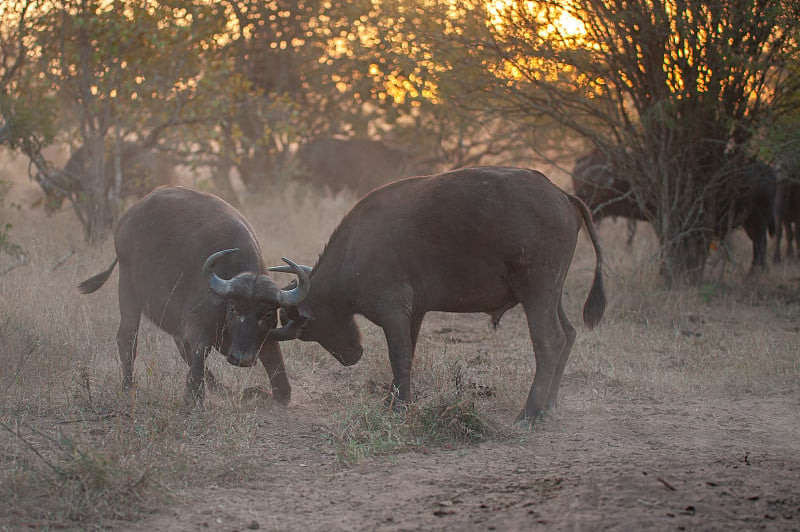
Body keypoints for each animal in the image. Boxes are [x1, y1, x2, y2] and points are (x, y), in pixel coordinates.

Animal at [77, 186, 310, 404]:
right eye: (234, 309)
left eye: (268, 314)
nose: (242, 359)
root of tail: (128, 218)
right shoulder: (195, 322)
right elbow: (199, 351)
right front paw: (194, 397)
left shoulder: (264, 338)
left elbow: (281, 381)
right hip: (127, 289)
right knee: (127, 338)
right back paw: (127, 386)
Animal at [268, 166, 608, 424]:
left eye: (307, 329)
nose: (351, 357)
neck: (357, 247)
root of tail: (561, 194)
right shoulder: (413, 315)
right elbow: (407, 356)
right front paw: (393, 401)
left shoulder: (392, 311)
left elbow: (399, 356)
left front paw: (400, 408)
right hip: (552, 295)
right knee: (569, 334)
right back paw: (549, 406)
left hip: (537, 294)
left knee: (550, 342)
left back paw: (530, 413)